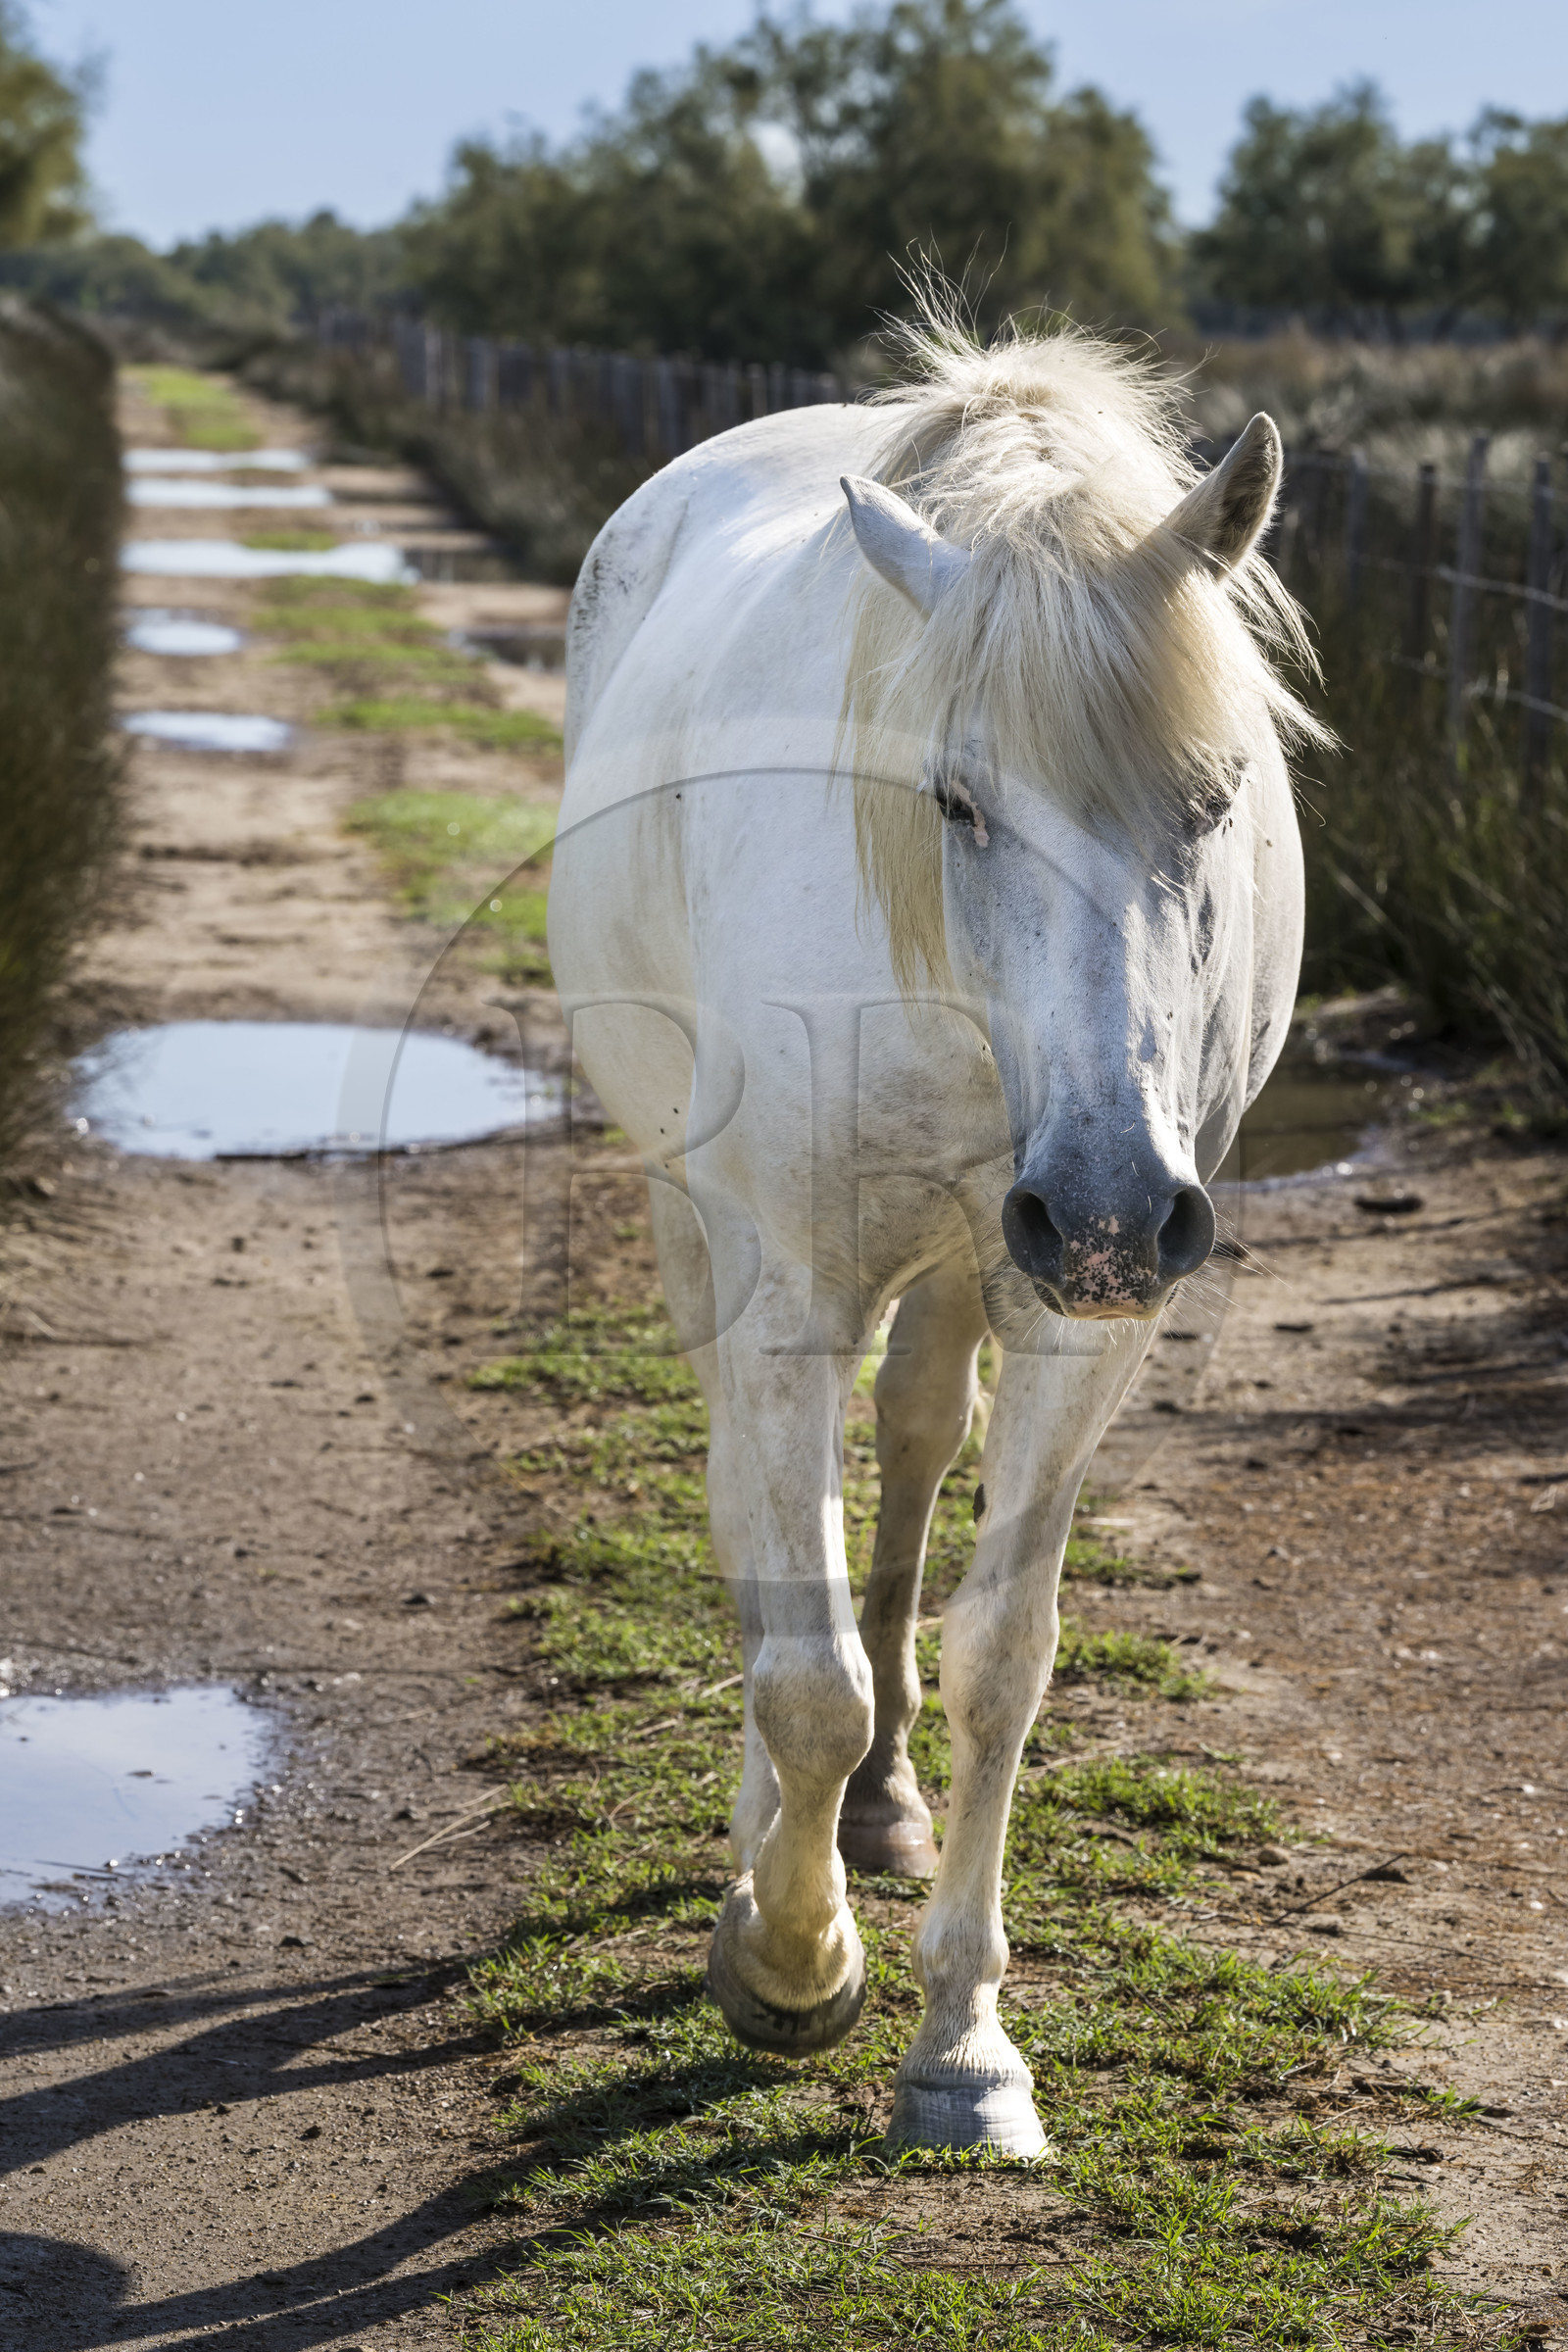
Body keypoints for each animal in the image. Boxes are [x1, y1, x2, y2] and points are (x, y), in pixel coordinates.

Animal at [547, 320, 1323, 2156]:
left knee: (906, 1442)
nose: (1109, 1205)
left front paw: (964, 2047)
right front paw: (788, 1960)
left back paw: (878, 1812)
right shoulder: (789, 1285)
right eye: (957, 804)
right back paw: (775, 1843)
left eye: (1214, 798)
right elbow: (805, 1665)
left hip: (987, 1262)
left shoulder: (1079, 1317)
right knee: (758, 1512)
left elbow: (1000, 1658)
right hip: (715, 1229)